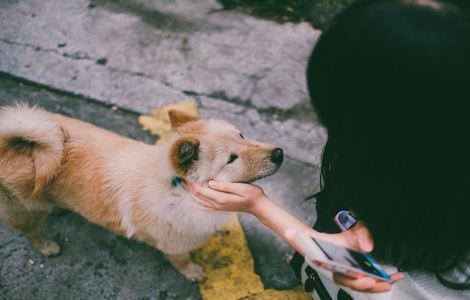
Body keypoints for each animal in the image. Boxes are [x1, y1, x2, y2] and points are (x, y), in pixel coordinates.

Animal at [0, 103, 282, 282]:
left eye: (242, 136)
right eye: (231, 159)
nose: (279, 153)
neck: (179, 194)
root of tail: (16, 144)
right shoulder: (173, 247)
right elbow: (181, 260)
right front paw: (192, 272)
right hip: (26, 210)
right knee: (31, 232)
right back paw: (46, 246)